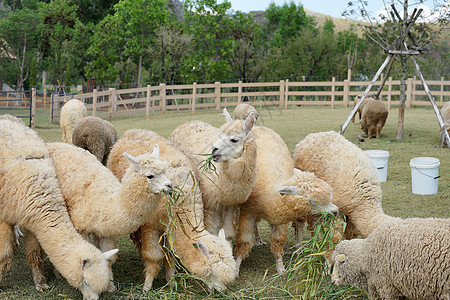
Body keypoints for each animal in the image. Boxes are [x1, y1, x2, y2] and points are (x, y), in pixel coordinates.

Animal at [0, 113, 116, 298]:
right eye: (85, 282)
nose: (92, 299)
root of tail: (6, 117)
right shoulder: (4, 215)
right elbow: (4, 253)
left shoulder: (33, 222)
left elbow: (34, 253)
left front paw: (40, 283)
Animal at [25, 142, 172, 292]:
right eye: (150, 176)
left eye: (164, 171)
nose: (170, 185)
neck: (107, 201)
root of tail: (51, 144)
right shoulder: (80, 227)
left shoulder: (105, 230)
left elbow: (109, 258)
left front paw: (110, 285)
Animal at [107, 128, 237, 290]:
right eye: (213, 273)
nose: (222, 290)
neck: (181, 206)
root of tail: (132, 131)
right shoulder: (150, 226)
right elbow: (154, 255)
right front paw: (147, 285)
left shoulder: (170, 227)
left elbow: (169, 254)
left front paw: (171, 280)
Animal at [169, 109, 256, 240]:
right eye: (219, 136)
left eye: (234, 140)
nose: (214, 149)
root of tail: (188, 122)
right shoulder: (210, 202)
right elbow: (212, 231)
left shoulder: (232, 203)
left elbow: (228, 233)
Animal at [236, 126, 338, 274]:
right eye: (313, 200)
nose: (335, 211)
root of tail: (260, 127)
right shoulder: (248, 210)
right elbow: (244, 241)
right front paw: (236, 266)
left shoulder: (279, 220)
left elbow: (278, 241)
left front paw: (280, 267)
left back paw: (259, 240)